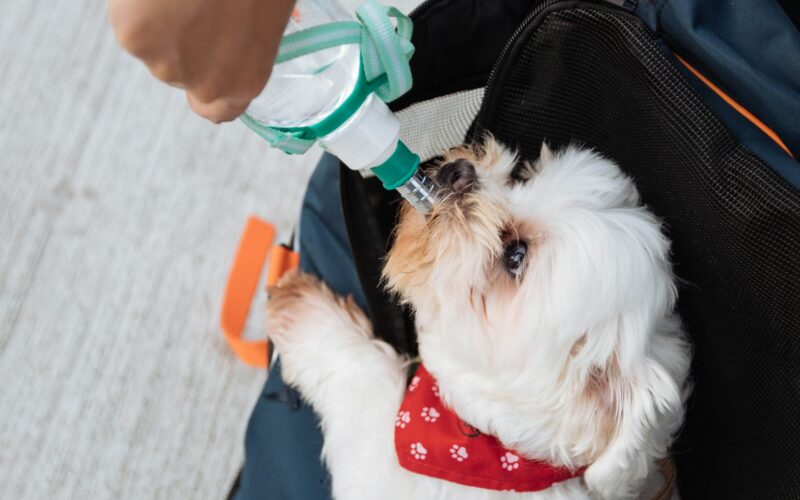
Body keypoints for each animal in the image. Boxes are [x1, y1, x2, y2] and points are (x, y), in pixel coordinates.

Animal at [266, 138, 692, 500]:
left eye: (515, 256)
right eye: (523, 177)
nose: (460, 172)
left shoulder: (377, 467)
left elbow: (363, 380)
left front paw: (304, 309)